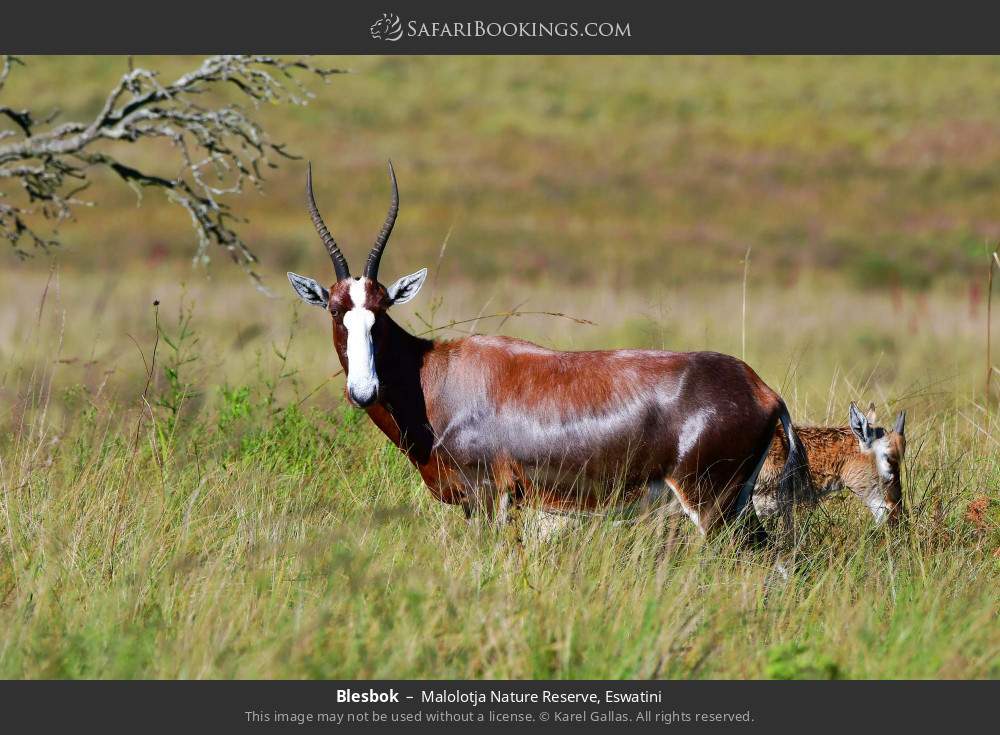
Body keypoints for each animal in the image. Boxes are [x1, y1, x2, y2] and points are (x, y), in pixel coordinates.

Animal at [286, 164, 808, 548]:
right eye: (336, 310)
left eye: (381, 310)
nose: (363, 390)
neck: (437, 373)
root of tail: (763, 391)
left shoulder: (492, 499)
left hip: (709, 506)